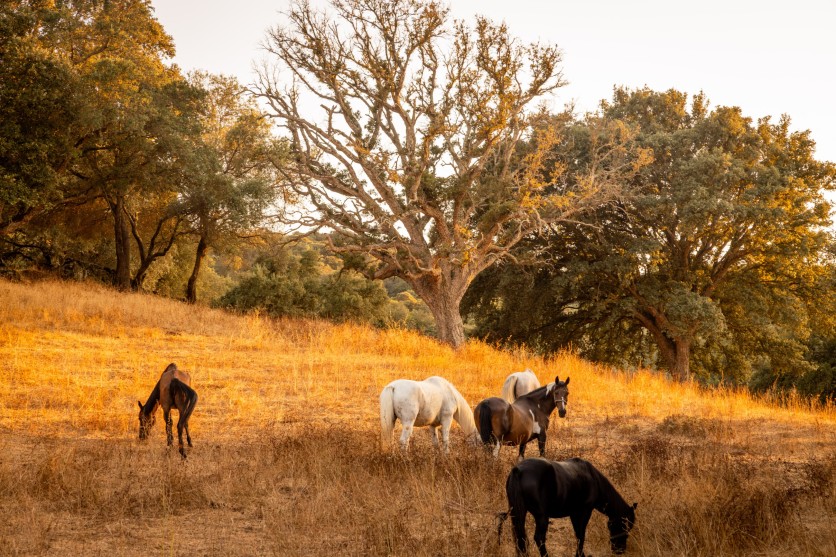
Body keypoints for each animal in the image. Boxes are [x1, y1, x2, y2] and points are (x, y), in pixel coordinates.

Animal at [498, 457, 637, 557]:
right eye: (626, 525)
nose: (619, 550)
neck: (593, 478)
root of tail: (518, 470)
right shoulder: (585, 511)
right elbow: (581, 535)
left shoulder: (574, 514)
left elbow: (578, 534)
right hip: (541, 517)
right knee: (539, 538)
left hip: (518, 514)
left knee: (521, 538)